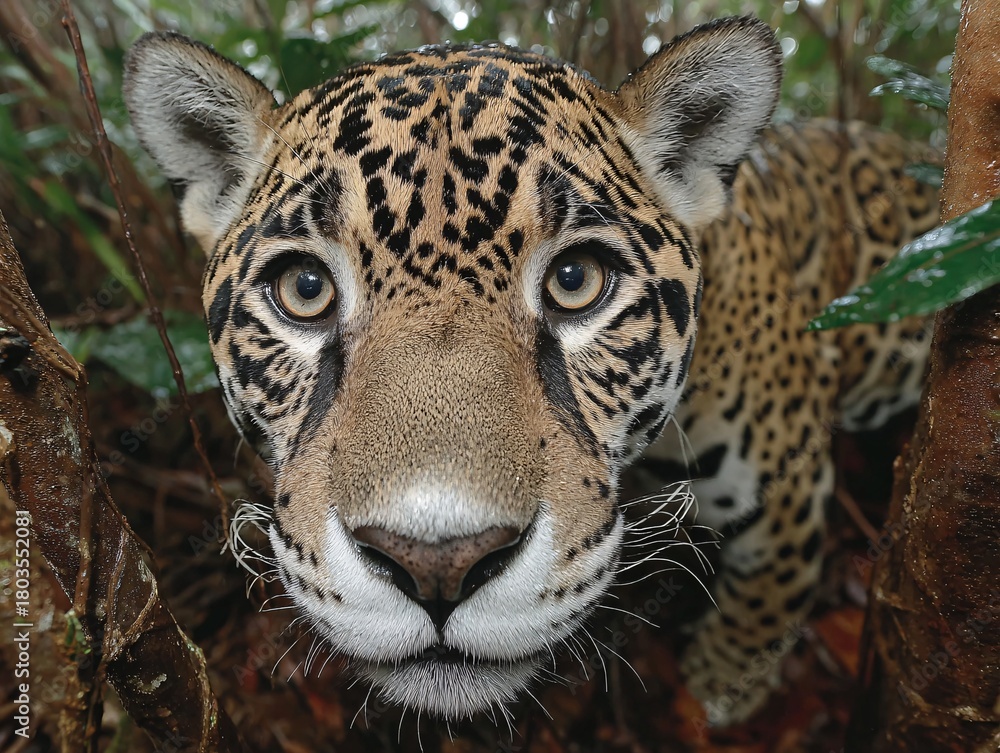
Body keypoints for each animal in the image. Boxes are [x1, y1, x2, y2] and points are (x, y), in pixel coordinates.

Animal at [122, 16, 939, 729]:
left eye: (577, 280)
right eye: (304, 289)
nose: (438, 563)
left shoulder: (788, 490)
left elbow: (769, 594)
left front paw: (721, 688)